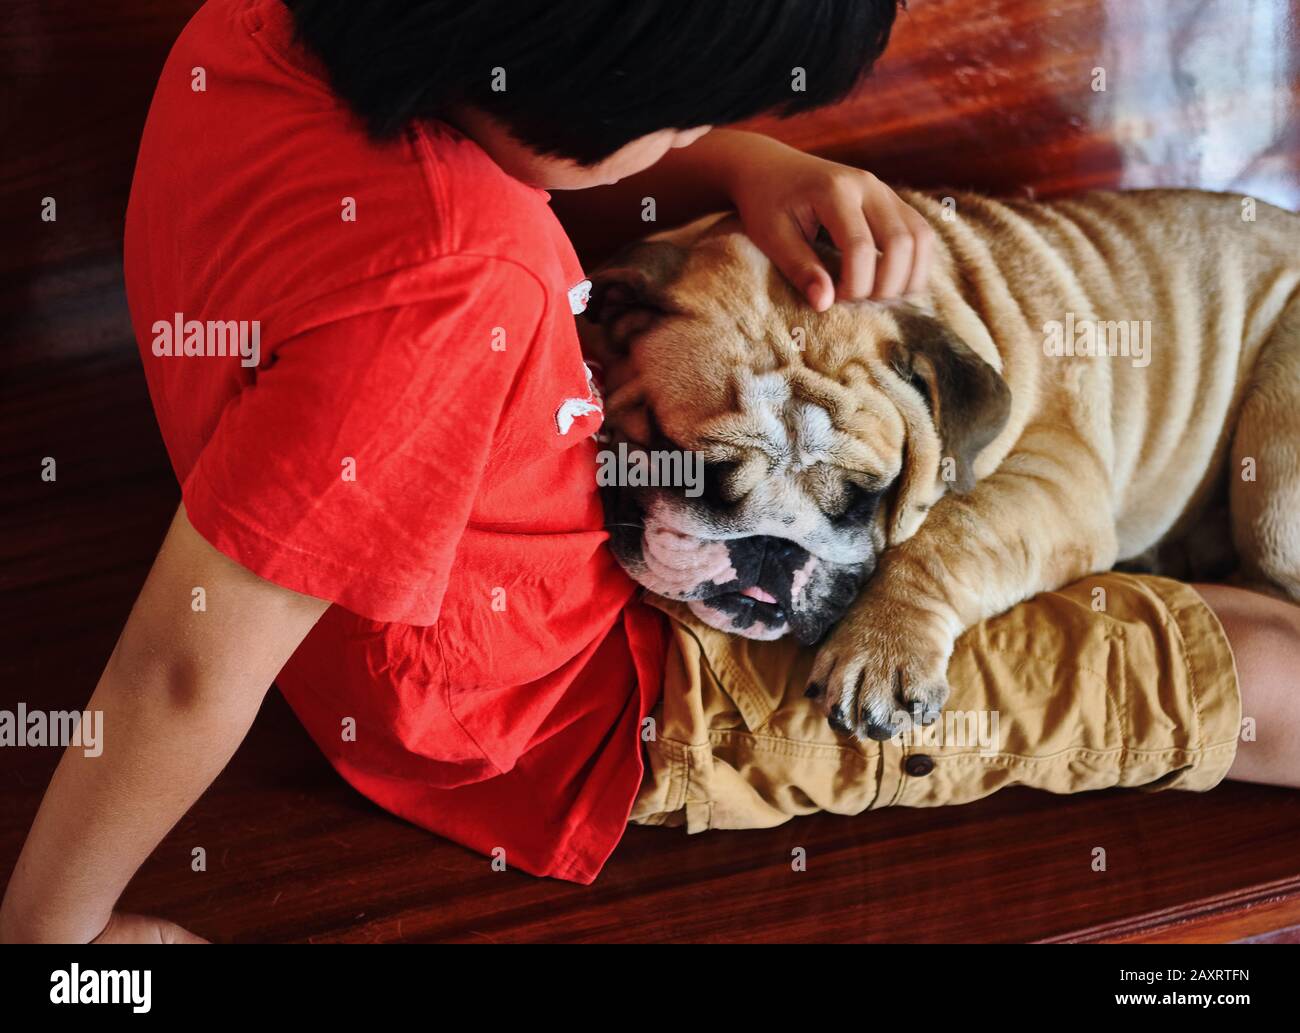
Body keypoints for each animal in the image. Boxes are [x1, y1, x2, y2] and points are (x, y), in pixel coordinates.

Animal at [581, 188, 1300, 741]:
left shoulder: (1055, 477)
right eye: (688, 470)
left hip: (1275, 461)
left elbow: (949, 535)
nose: (774, 547)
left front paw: (883, 648)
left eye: (865, 498)